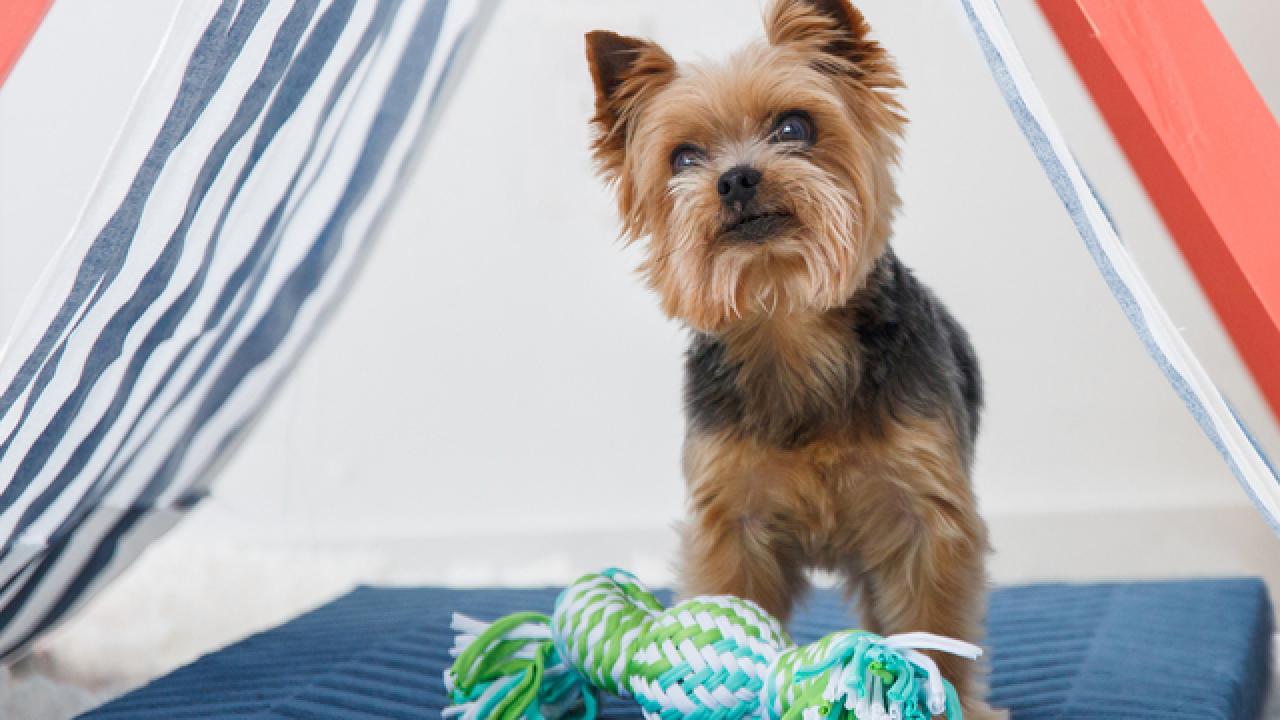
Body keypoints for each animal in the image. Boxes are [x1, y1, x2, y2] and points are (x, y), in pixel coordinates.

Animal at [586, 1, 998, 712]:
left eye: (794, 127)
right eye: (683, 157)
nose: (736, 178)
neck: (788, 321)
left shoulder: (922, 516)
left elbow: (935, 626)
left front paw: (943, 696)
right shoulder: (733, 520)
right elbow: (731, 602)